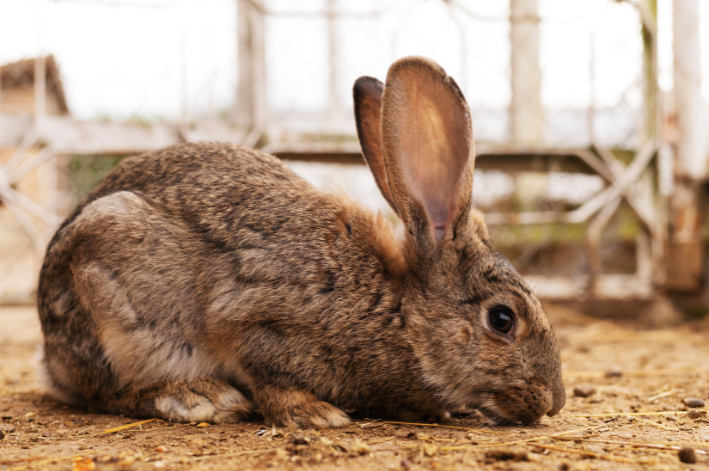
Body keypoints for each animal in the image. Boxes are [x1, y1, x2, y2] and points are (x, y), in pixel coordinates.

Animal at [37, 57, 564, 430]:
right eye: (502, 319)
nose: (554, 402)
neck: (400, 311)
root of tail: (50, 357)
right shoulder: (257, 322)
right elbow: (268, 377)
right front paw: (315, 414)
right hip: (108, 300)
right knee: (105, 392)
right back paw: (198, 397)